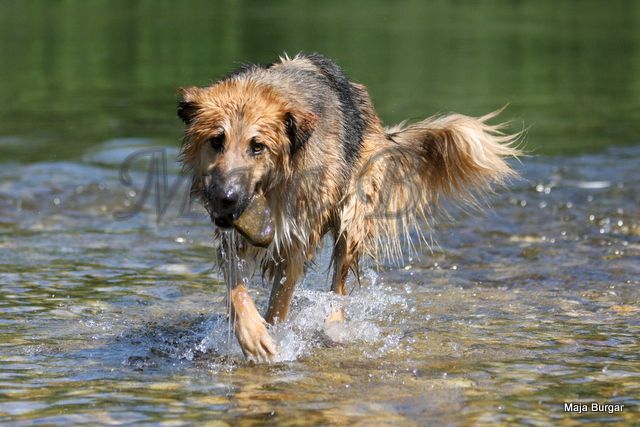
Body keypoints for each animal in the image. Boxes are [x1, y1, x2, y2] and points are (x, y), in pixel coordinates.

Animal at [178, 52, 524, 362]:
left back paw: (333, 327)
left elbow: (279, 302)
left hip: (352, 218)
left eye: (257, 146)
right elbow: (237, 290)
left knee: (339, 285)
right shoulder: (232, 239)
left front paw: (274, 336)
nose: (226, 197)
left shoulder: (296, 240)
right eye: (217, 141)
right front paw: (252, 333)